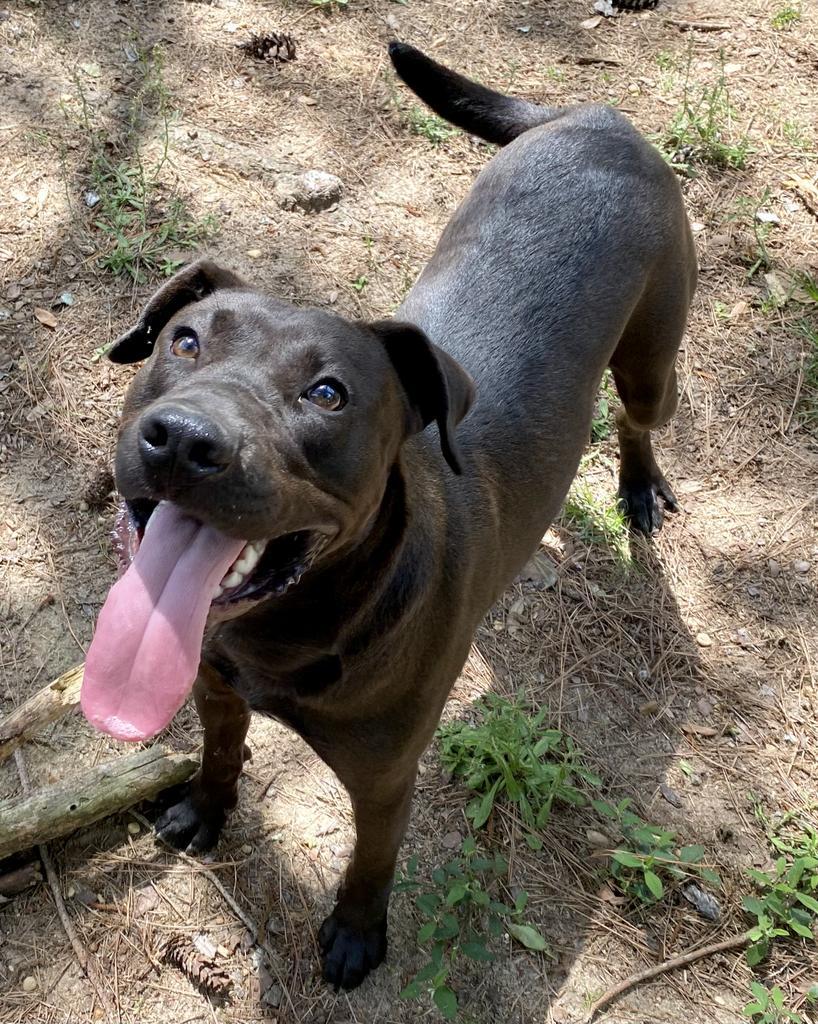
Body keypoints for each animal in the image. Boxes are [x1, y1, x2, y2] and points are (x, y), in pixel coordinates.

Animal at [81, 41, 696, 991]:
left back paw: (636, 486)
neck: (292, 630)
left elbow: (372, 861)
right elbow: (220, 753)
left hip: (652, 361)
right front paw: (206, 810)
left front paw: (356, 936)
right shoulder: (215, 688)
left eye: (328, 394)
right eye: (184, 341)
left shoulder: (385, 779)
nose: (184, 440)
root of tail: (596, 114)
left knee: (639, 416)